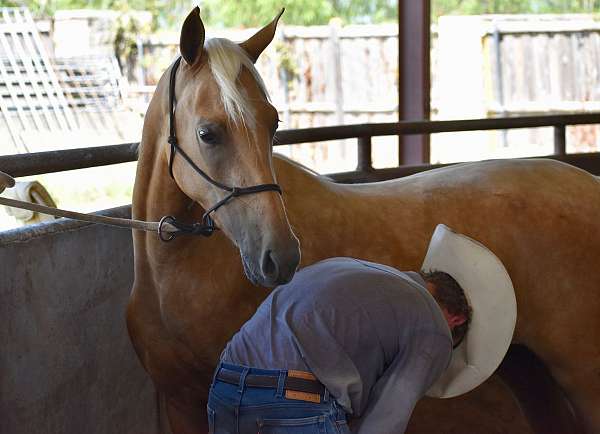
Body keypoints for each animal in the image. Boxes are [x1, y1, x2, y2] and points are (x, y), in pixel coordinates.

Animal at [130, 7, 600, 434]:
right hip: (530, 373)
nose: (280, 256)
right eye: (207, 133)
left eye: (273, 123)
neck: (174, 274)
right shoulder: (182, 404)